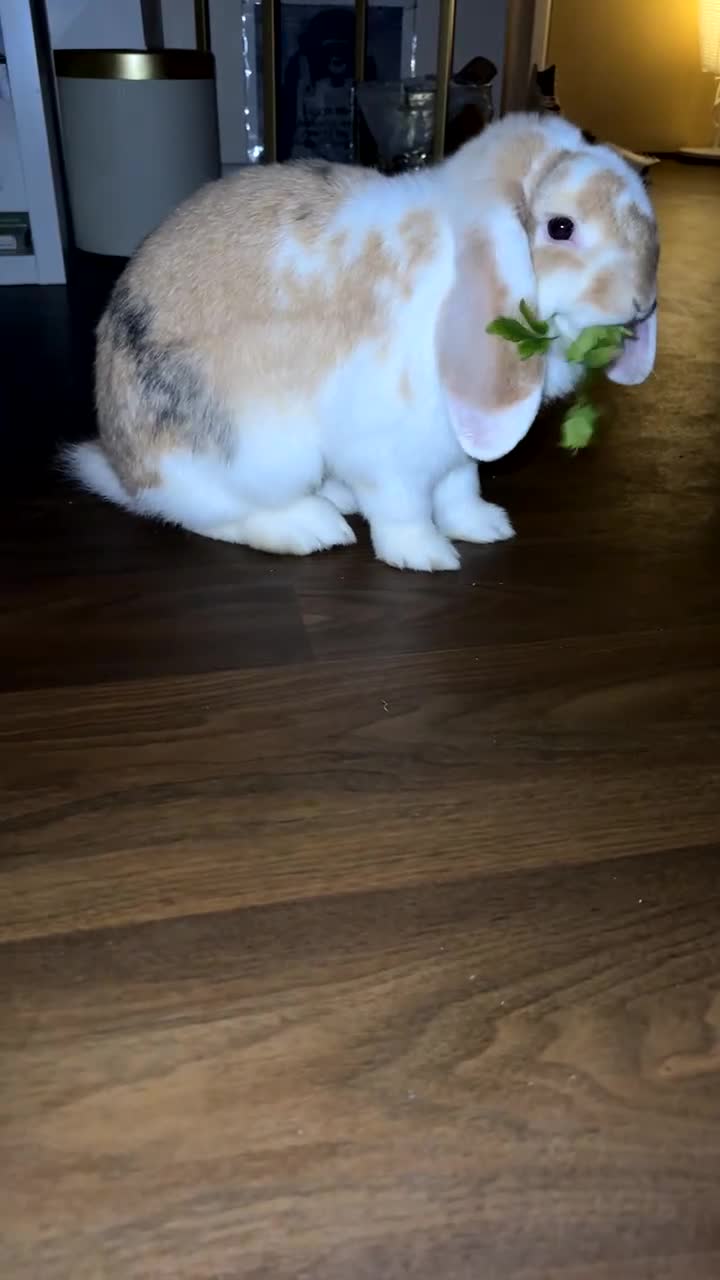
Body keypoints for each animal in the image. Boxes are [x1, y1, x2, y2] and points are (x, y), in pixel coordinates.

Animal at [65, 111, 659, 572]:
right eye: (561, 227)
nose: (640, 302)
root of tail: (124, 469)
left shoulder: (454, 449)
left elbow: (461, 489)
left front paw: (485, 527)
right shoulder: (387, 452)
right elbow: (403, 508)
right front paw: (427, 556)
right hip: (254, 452)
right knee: (211, 514)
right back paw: (312, 527)